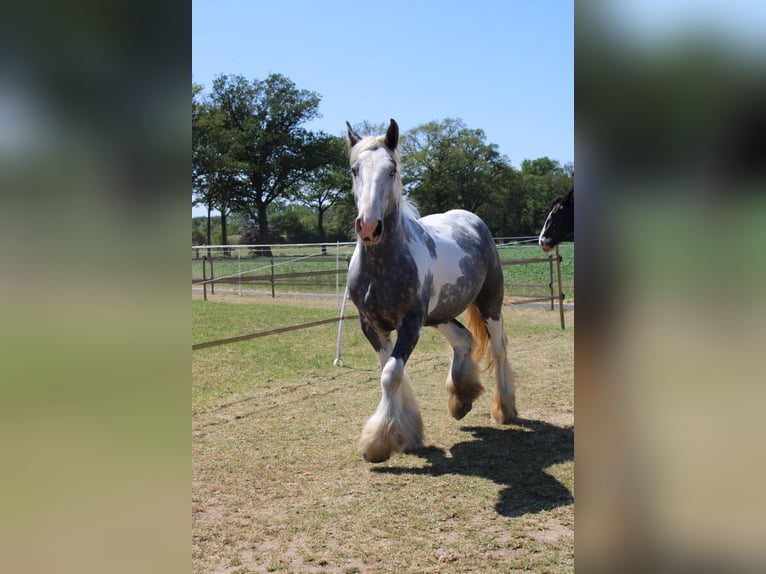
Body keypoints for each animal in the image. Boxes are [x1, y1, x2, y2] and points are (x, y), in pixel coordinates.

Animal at [346, 119, 516, 466]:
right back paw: (461, 399)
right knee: (464, 339)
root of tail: (471, 218)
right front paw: (408, 432)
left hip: (489, 303)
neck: (381, 267)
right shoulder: (372, 325)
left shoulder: (410, 323)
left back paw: (504, 409)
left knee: (498, 347)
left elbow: (391, 374)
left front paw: (377, 443)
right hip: (440, 314)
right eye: (355, 169)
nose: (369, 227)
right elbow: (389, 371)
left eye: (392, 169)